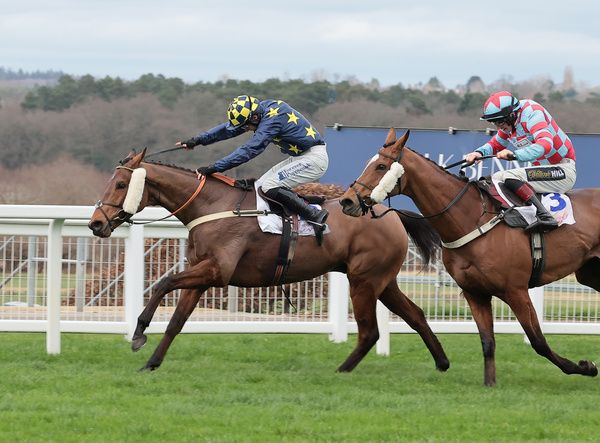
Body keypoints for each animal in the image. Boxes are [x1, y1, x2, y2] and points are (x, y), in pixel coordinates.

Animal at [86, 150, 448, 374]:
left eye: (121, 184)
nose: (96, 223)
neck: (212, 206)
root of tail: (392, 214)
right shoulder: (202, 275)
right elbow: (177, 321)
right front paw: (151, 362)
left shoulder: (216, 272)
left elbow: (163, 283)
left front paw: (138, 333)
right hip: (382, 281)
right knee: (415, 314)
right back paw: (442, 362)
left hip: (364, 280)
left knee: (370, 331)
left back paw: (342, 369)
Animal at [340, 127, 600, 386]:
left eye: (381, 166)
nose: (347, 200)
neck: (472, 218)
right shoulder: (475, 292)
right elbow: (487, 342)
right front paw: (490, 384)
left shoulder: (516, 291)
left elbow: (538, 342)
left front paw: (585, 367)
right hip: (590, 273)